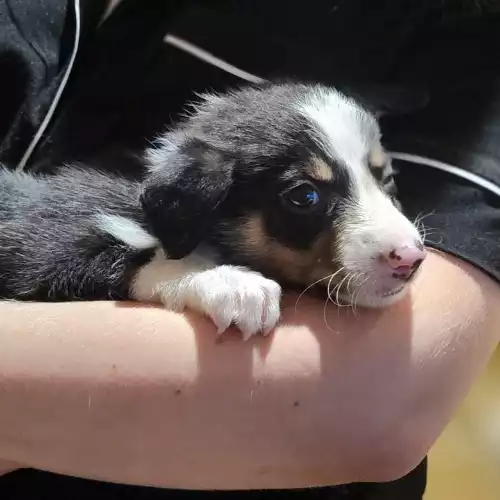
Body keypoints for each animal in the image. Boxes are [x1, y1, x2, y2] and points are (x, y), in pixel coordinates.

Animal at [0, 82, 426, 340]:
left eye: (387, 178)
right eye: (305, 196)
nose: (410, 259)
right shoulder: (48, 243)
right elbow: (146, 258)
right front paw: (233, 285)